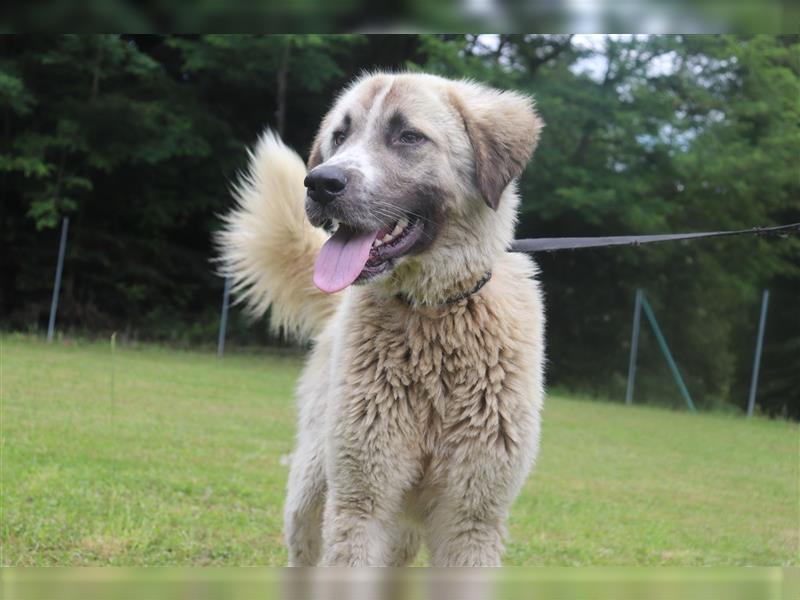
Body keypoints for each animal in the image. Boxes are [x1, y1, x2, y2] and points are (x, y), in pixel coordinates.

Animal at [216, 72, 548, 564]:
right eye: (340, 135)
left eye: (408, 136)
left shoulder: (471, 520)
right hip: (313, 488)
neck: (433, 317)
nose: (319, 183)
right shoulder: (361, 503)